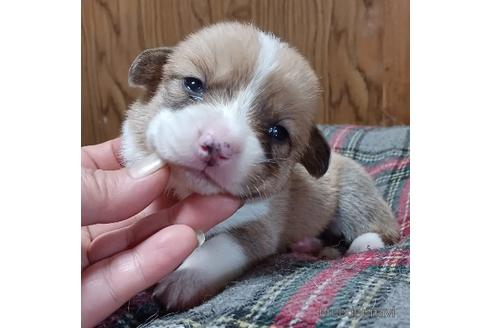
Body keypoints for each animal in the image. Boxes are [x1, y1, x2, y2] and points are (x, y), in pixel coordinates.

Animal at [120, 22, 400, 310]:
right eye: (193, 84)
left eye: (278, 132)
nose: (216, 146)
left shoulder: (256, 229)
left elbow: (219, 247)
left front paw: (183, 278)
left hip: (353, 193)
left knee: (380, 226)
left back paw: (364, 244)